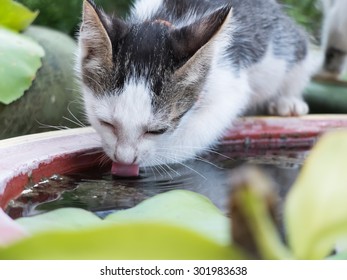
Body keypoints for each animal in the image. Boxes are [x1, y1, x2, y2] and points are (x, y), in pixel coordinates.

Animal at [75, 0, 312, 175]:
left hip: (282, 48)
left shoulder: (229, 82)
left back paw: (288, 102)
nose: (124, 159)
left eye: (157, 131)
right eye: (106, 123)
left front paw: (154, 158)